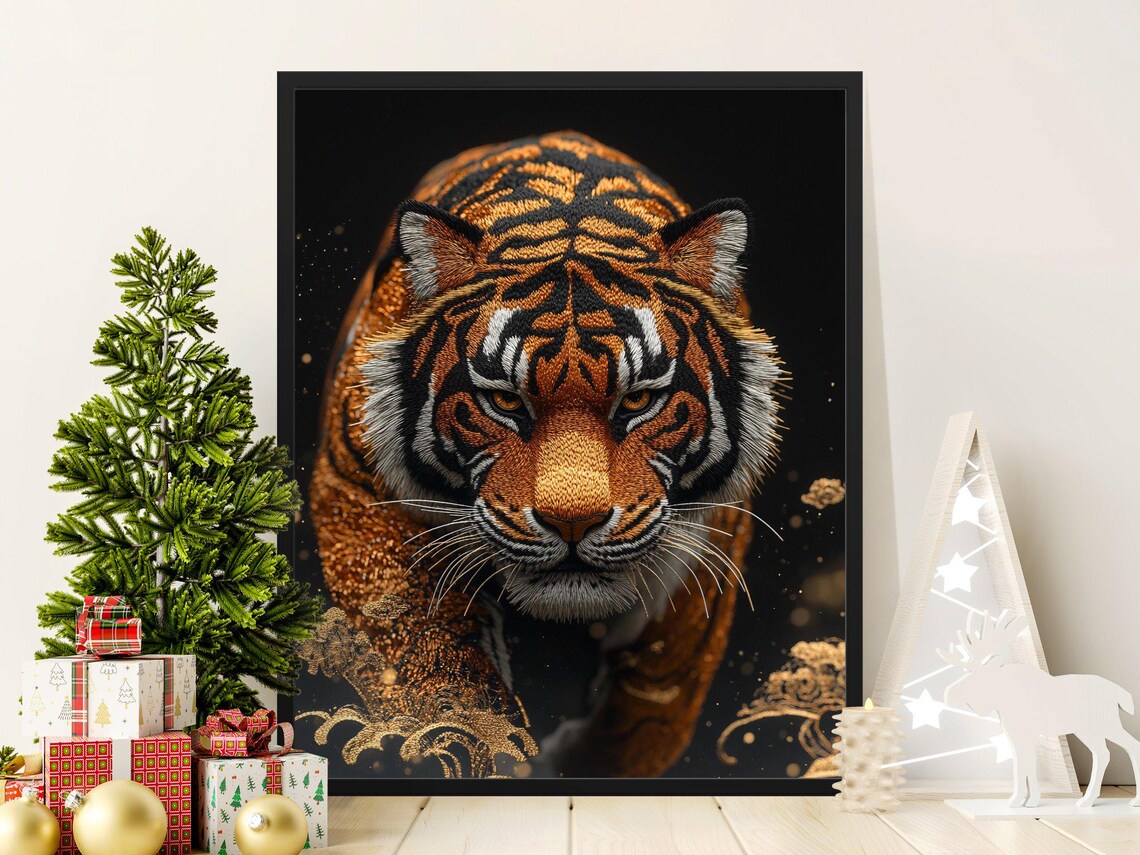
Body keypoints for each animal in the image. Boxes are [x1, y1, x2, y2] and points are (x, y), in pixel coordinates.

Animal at [310, 131, 783, 778]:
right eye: (506, 401)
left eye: (639, 398)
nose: (573, 521)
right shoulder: (353, 489)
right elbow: (422, 641)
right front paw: (463, 734)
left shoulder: (708, 546)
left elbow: (648, 708)